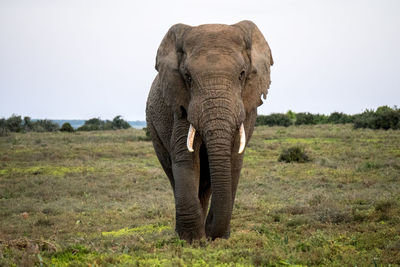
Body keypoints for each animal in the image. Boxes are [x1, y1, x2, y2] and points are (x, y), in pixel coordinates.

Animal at [145, 21, 274, 243]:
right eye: (187, 77)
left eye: (242, 74)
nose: (213, 236)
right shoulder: (181, 103)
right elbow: (185, 156)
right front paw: (191, 240)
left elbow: (233, 159)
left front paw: (218, 237)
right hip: (153, 128)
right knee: (172, 172)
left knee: (206, 183)